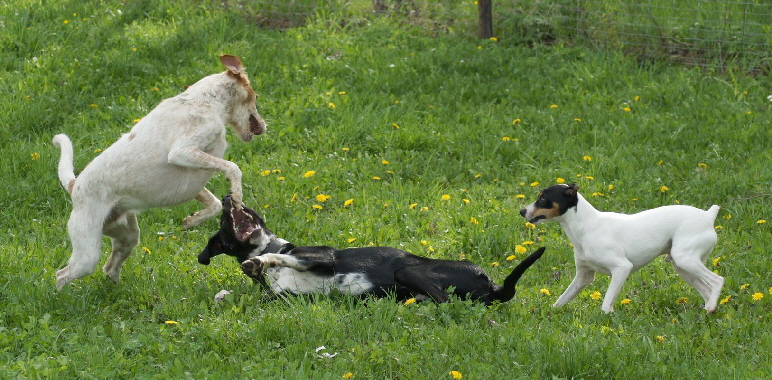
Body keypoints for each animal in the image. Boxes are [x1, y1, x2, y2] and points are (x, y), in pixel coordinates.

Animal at [53, 54, 266, 290]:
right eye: (256, 96)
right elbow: (233, 168)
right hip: (87, 255)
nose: (264, 127)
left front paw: (192, 220)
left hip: (127, 236)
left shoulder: (195, 180)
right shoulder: (181, 152)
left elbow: (215, 204)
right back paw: (61, 296)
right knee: (61, 275)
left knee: (109, 268)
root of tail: (74, 186)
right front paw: (237, 194)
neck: (206, 102)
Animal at [202, 197, 544, 304]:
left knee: (444, 301)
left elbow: (283, 255)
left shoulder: (322, 257)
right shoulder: (283, 298)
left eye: (222, 221)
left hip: (407, 269)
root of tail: (493, 286)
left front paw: (260, 260)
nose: (227, 198)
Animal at [520, 183, 724, 312]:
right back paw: (708, 310)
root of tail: (708, 216)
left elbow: (606, 304)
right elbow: (561, 300)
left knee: (717, 280)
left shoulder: (622, 268)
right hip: (682, 267)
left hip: (685, 260)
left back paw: (711, 308)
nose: (522, 211)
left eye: (542, 199)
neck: (587, 226)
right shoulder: (583, 278)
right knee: (706, 289)